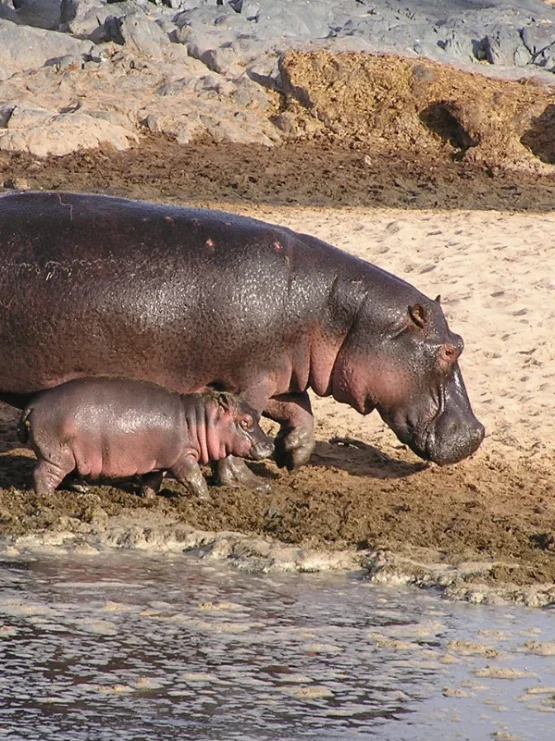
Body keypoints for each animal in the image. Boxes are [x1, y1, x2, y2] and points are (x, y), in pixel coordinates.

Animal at [17, 376, 276, 498]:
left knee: (70, 475)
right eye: (245, 421)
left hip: (73, 455)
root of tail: (32, 405)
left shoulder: (159, 461)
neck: (198, 419)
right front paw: (206, 500)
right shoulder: (182, 458)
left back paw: (85, 489)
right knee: (43, 475)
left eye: (257, 415)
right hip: (57, 455)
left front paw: (149, 498)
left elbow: (153, 480)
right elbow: (195, 478)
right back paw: (46, 498)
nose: (270, 445)